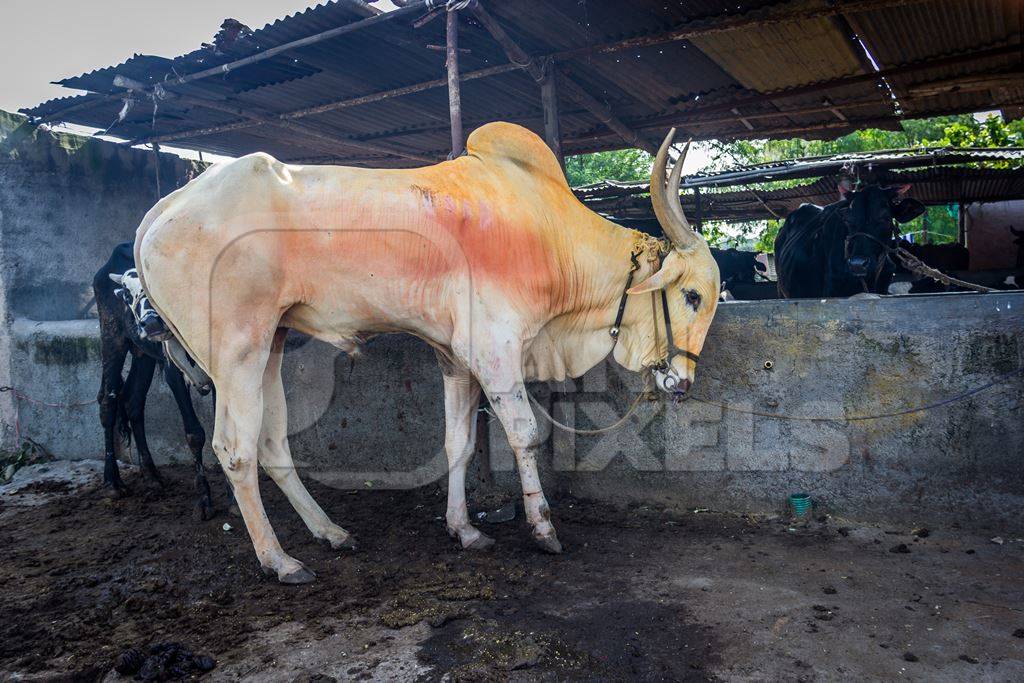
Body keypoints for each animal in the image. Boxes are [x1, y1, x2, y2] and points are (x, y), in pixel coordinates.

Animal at [95, 240, 217, 518]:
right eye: (127, 294)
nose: (151, 323)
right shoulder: (173, 372)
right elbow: (194, 434)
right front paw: (204, 499)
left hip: (143, 356)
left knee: (132, 401)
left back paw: (151, 476)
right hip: (112, 339)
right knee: (108, 402)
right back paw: (112, 482)